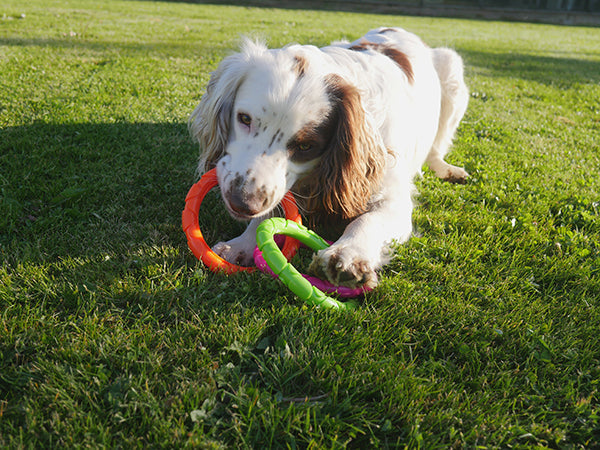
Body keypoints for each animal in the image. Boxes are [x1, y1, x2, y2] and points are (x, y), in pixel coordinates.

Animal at [188, 27, 468, 288]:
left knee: (437, 147)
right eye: (244, 119)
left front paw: (348, 254)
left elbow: (368, 219)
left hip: (453, 72)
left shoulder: (392, 198)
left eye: (306, 145)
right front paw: (242, 244)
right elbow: (272, 211)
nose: (242, 203)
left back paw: (449, 170)